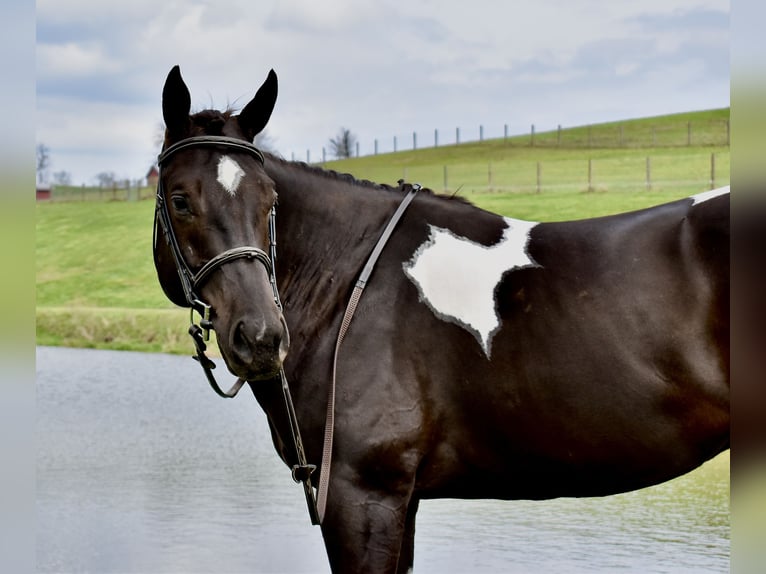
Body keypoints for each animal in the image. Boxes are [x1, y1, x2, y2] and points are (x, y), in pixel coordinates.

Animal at [153, 66, 730, 573]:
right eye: (180, 200)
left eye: (269, 199)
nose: (261, 336)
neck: (347, 285)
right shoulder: (397, 502)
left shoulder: (363, 496)